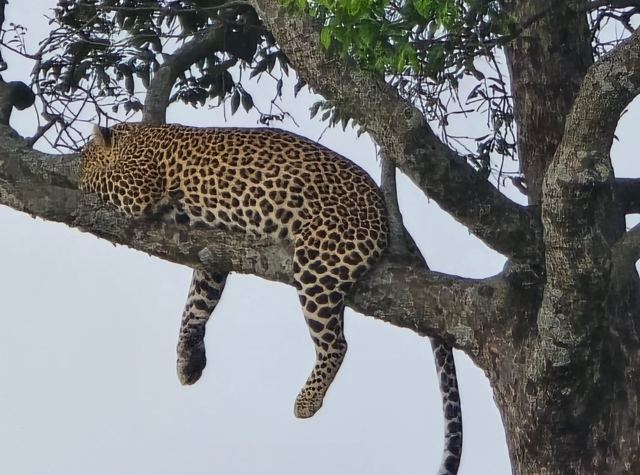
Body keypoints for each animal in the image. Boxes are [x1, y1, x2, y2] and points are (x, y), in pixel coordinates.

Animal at [80, 123, 462, 475]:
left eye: (84, 158)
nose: (79, 166)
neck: (134, 136)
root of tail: (383, 207)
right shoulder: (211, 254)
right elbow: (195, 306)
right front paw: (188, 359)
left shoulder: (138, 187)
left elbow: (109, 185)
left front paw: (84, 180)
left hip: (318, 260)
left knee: (336, 344)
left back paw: (307, 401)